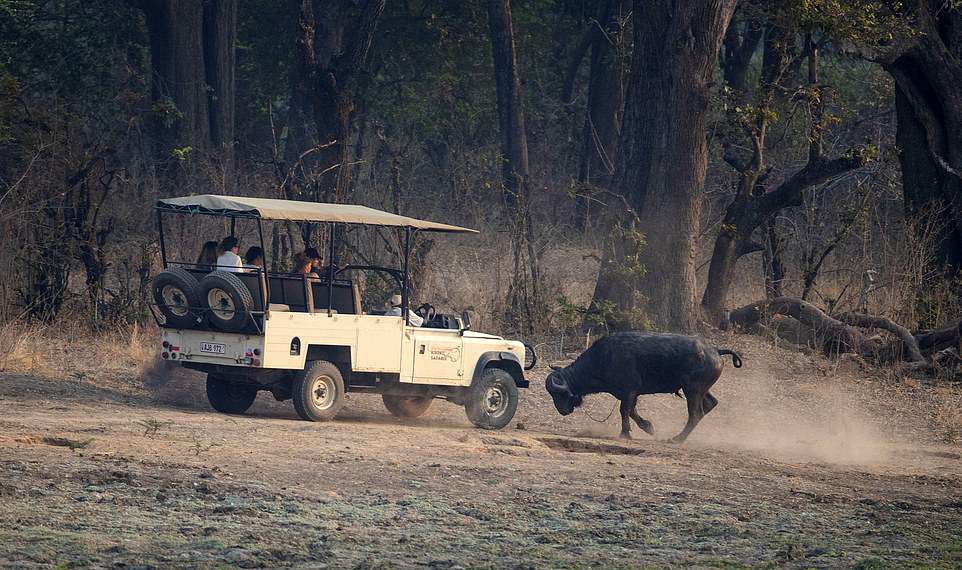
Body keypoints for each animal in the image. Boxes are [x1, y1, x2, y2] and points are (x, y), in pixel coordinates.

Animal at [540, 330, 744, 442]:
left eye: (559, 394)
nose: (562, 411)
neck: (604, 358)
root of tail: (715, 350)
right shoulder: (632, 394)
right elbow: (632, 411)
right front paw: (648, 427)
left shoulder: (629, 391)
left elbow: (624, 411)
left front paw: (625, 433)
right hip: (701, 390)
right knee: (710, 404)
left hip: (692, 390)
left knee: (696, 413)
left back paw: (677, 439)